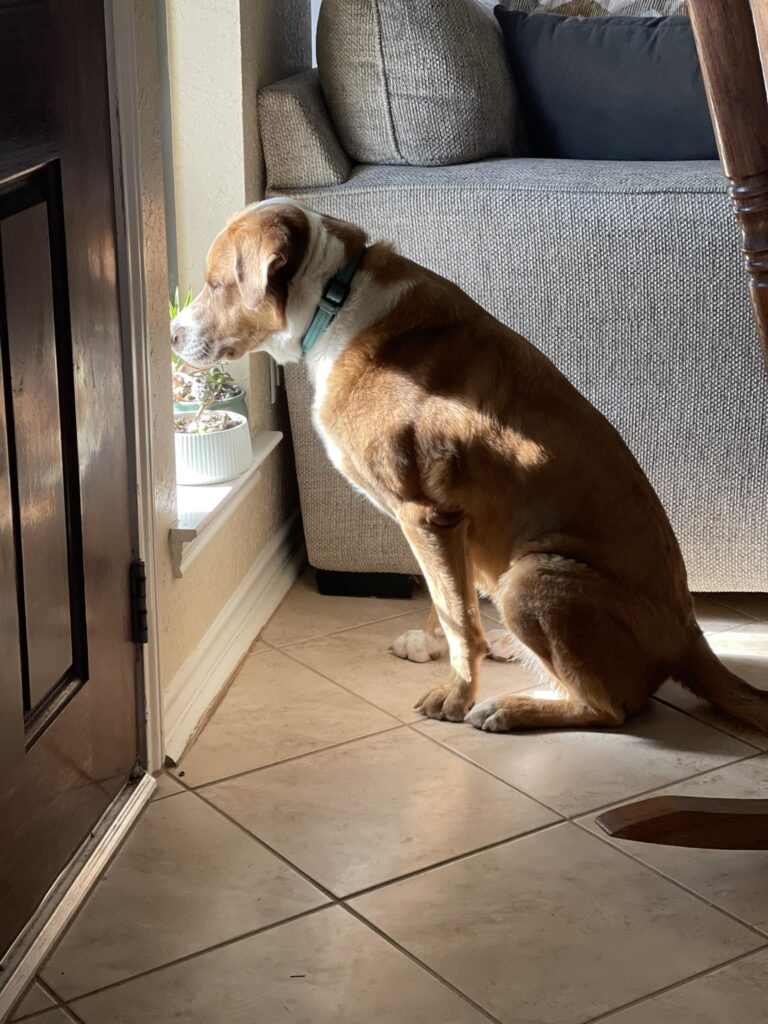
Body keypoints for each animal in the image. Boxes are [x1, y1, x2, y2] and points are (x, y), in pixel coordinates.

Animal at [173, 195, 768, 733]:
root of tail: (689, 638)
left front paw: (457, 696)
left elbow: (460, 621)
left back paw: (511, 708)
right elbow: (444, 600)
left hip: (531, 577)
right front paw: (430, 644)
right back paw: (511, 653)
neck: (333, 301)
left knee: (615, 707)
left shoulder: (425, 513)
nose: (173, 336)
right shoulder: (437, 527)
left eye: (217, 285)